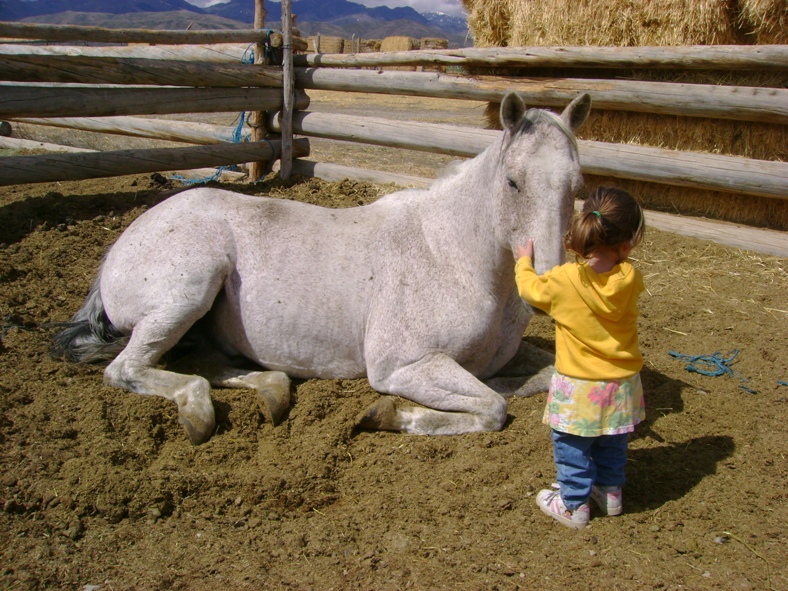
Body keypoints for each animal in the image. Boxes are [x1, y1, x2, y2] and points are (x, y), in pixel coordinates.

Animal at [50, 91, 592, 444]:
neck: (452, 257)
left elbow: (534, 381)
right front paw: (389, 415)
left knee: (201, 363)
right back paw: (199, 412)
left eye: (578, 185)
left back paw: (271, 391)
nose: (547, 281)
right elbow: (493, 407)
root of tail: (120, 247)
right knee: (129, 369)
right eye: (513, 182)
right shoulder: (402, 366)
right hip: (187, 293)